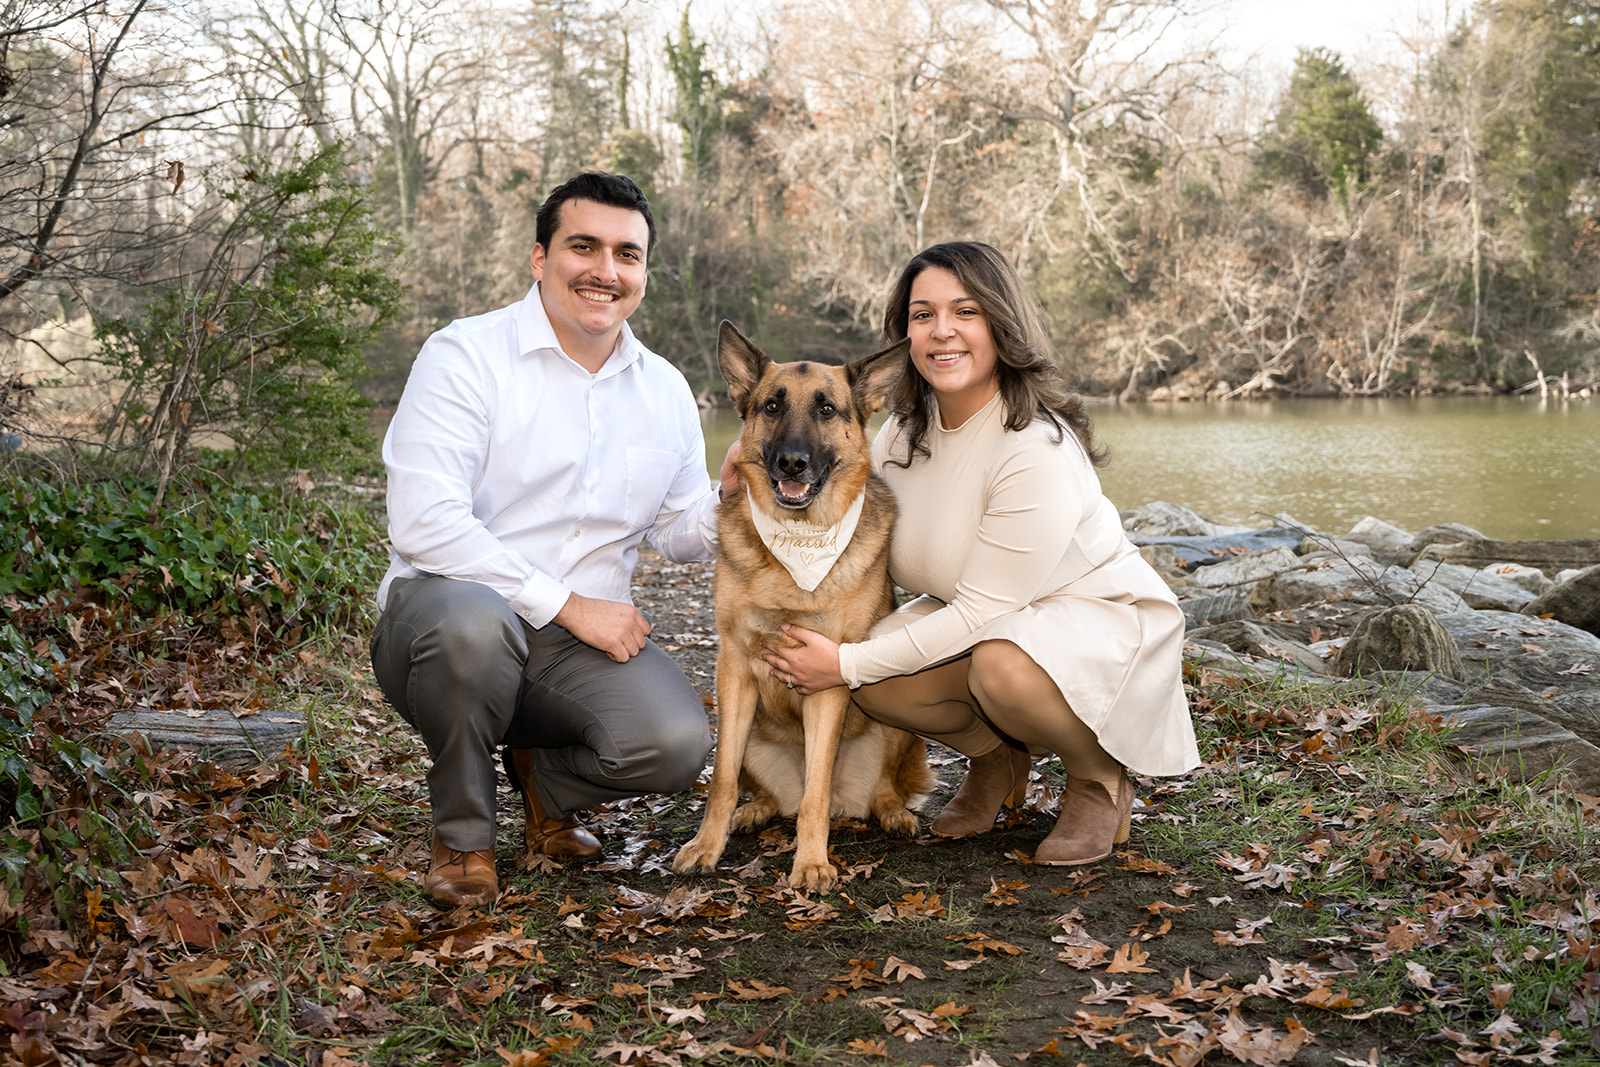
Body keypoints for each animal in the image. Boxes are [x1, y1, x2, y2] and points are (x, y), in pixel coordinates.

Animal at [668, 319, 934, 895]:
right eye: (772, 405)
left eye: (827, 409)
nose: (792, 462)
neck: (794, 550)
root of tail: (849, 806)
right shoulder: (734, 670)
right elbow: (720, 782)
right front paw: (707, 845)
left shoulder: (827, 680)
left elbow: (816, 788)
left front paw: (811, 863)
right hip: (746, 733)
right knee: (763, 790)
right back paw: (756, 810)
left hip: (894, 728)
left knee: (868, 789)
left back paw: (891, 813)